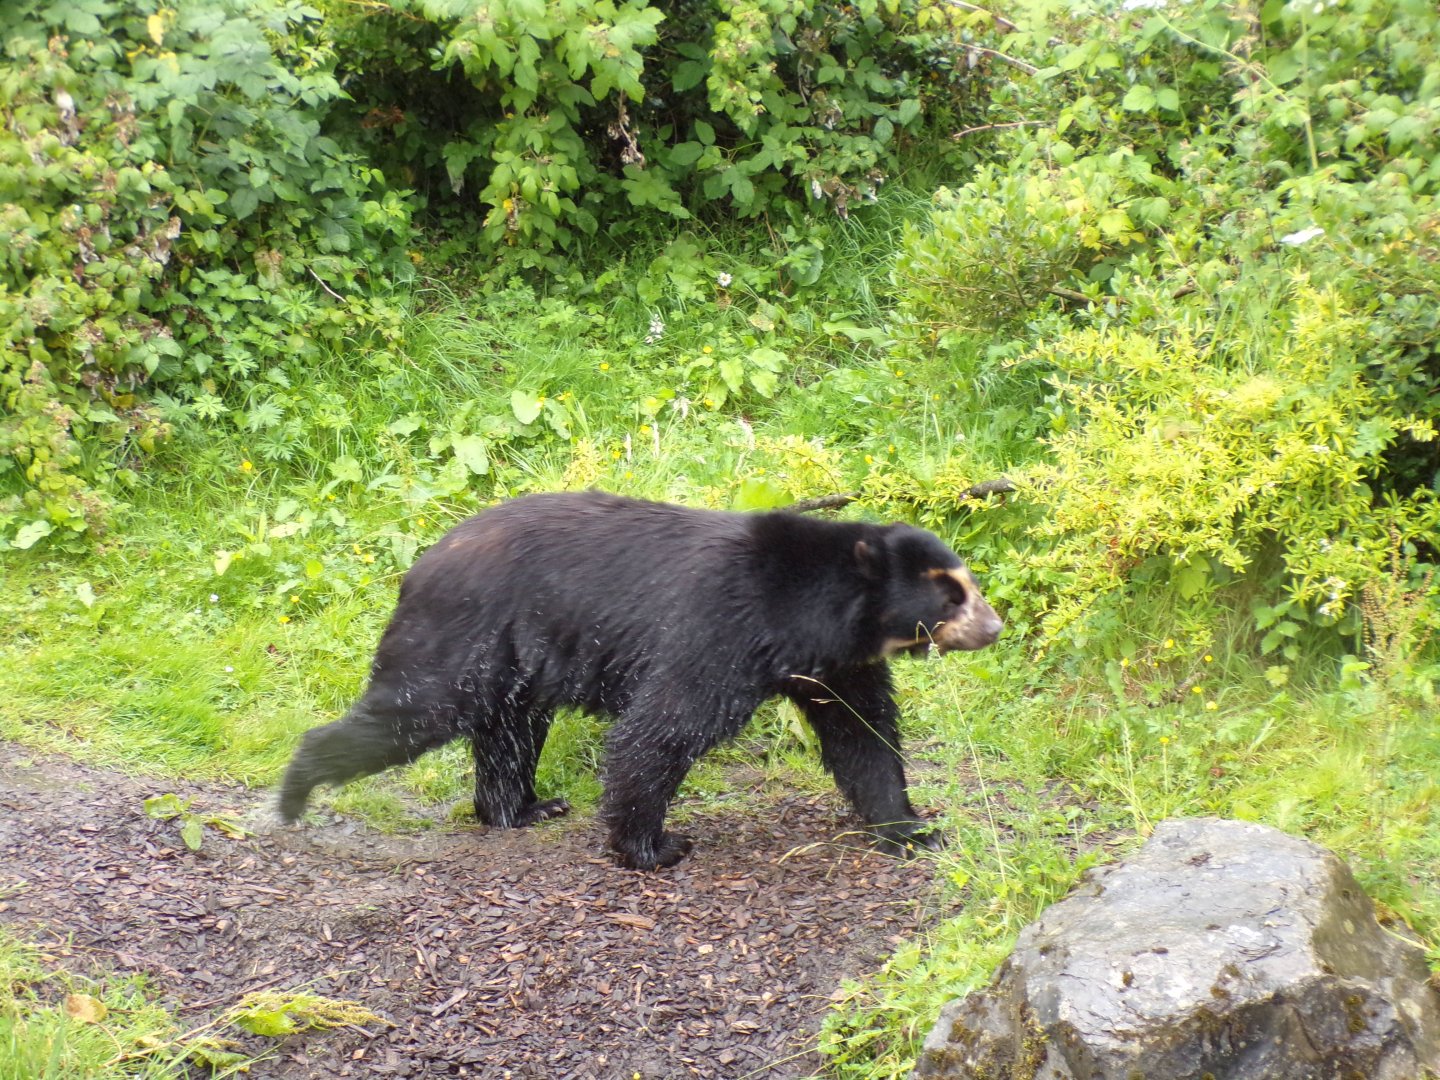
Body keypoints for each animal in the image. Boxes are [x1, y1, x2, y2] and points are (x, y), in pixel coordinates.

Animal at [276, 491, 1003, 870]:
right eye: (949, 595)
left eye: (967, 582)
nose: (996, 626)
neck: (807, 612)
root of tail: (419, 565)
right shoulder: (721, 630)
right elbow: (661, 727)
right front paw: (655, 845)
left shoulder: (837, 663)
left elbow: (863, 736)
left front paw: (912, 830)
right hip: (462, 636)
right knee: (414, 711)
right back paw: (294, 792)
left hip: (512, 661)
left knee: (509, 735)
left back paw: (522, 808)